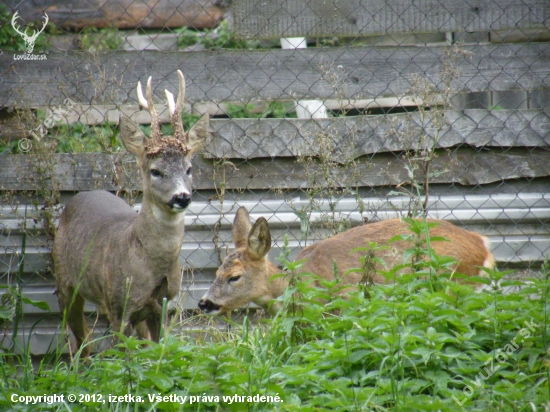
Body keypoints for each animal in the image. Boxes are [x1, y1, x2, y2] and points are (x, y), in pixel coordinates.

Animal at [52, 70, 210, 354]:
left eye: (189, 168)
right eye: (155, 171)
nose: (182, 196)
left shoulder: (163, 306)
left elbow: (158, 352)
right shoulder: (118, 306)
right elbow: (124, 357)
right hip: (65, 283)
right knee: (82, 340)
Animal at [198, 208, 496, 314]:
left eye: (234, 277)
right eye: (216, 272)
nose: (204, 303)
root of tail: (482, 244)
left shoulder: (345, 304)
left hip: (453, 284)